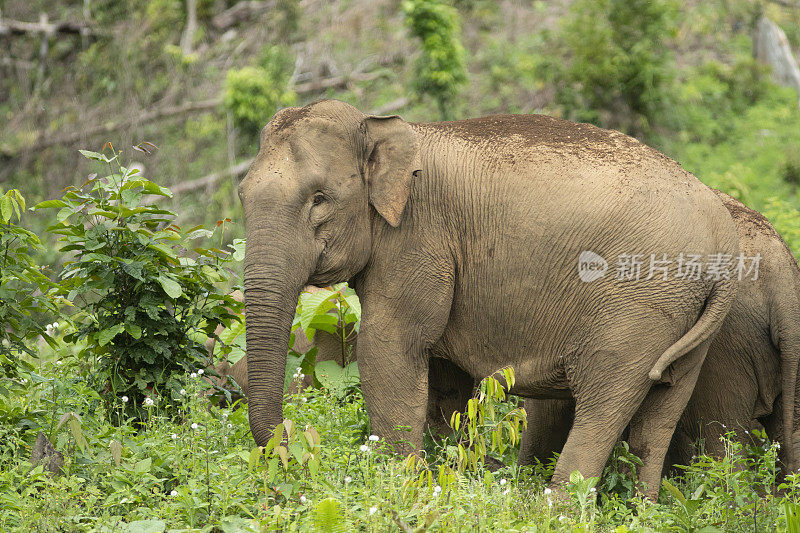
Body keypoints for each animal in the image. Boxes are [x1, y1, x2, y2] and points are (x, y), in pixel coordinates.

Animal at [241, 97, 740, 496]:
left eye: (319, 199)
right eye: (242, 196)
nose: (294, 449)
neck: (384, 128)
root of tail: (725, 239)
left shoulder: (418, 239)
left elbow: (391, 346)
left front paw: (395, 487)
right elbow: (443, 375)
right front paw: (445, 474)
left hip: (638, 306)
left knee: (605, 399)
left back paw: (555, 508)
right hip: (684, 313)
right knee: (661, 412)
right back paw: (642, 509)